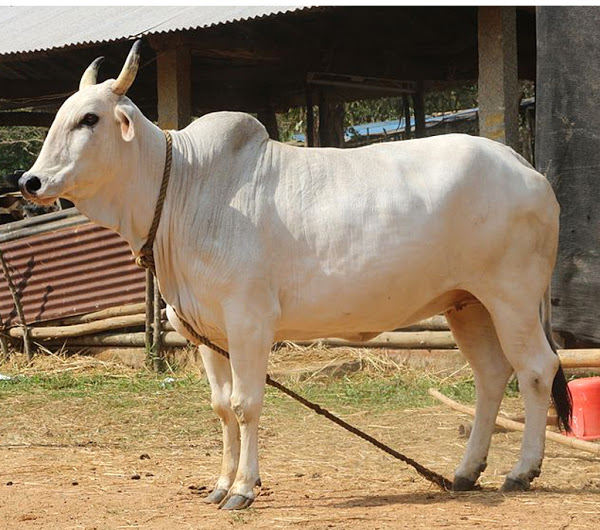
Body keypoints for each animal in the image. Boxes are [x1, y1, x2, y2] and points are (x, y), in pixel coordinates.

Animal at [19, 42, 572, 508]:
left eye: (89, 118)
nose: (31, 181)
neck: (183, 187)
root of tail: (523, 164)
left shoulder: (249, 321)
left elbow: (246, 404)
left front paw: (243, 489)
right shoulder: (204, 331)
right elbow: (222, 407)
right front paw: (219, 485)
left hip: (512, 297)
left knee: (536, 369)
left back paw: (522, 471)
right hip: (466, 303)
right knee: (491, 377)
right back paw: (466, 471)